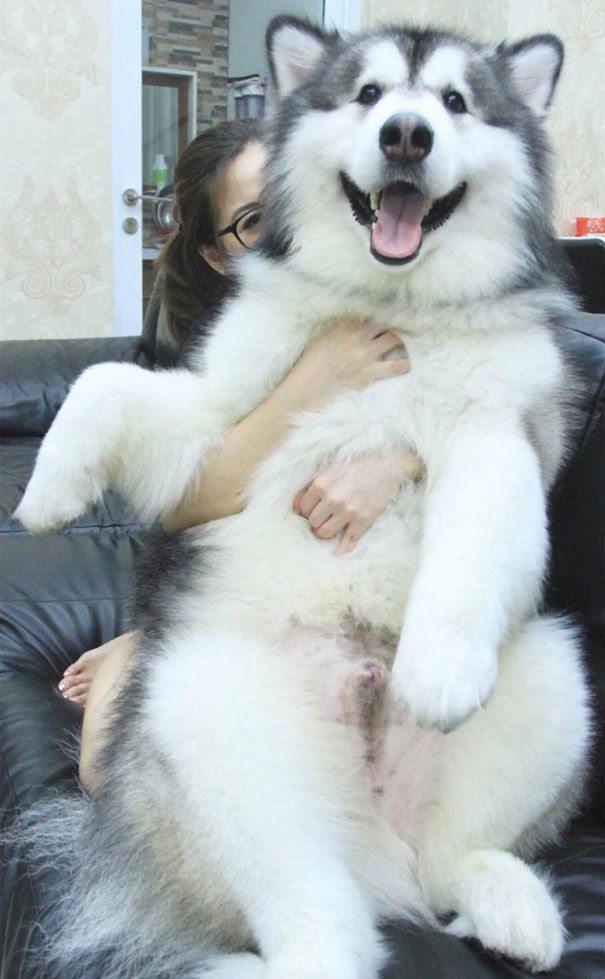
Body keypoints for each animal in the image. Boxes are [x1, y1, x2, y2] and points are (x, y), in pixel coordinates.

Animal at [17, 15, 588, 979]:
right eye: (367, 94)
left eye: (454, 101)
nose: (406, 135)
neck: (392, 308)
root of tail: (376, 845)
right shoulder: (222, 414)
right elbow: (102, 381)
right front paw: (47, 491)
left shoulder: (498, 434)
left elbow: (475, 543)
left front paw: (436, 672)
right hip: (209, 708)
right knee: (320, 917)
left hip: (553, 665)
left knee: (449, 859)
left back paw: (514, 905)